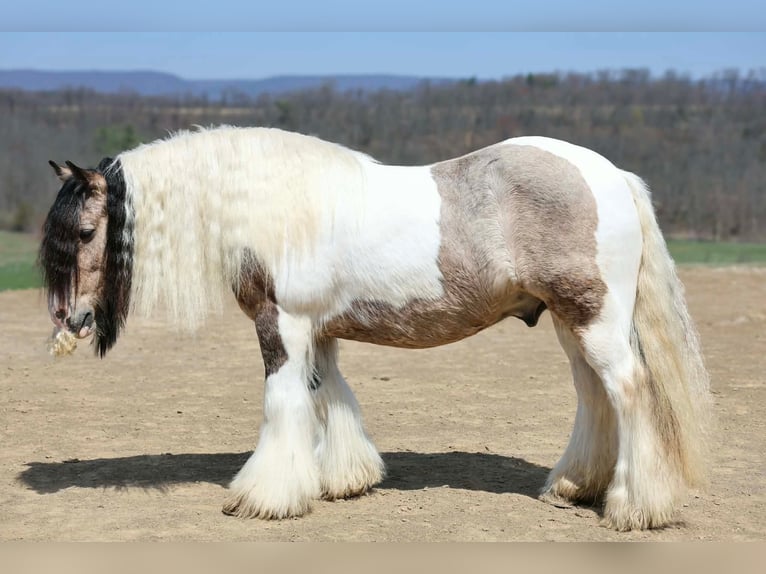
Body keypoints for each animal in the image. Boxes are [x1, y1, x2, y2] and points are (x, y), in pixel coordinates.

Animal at [40, 125, 710, 531]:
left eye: (85, 231)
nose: (71, 321)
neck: (269, 207)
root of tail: (612, 176)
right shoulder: (319, 331)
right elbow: (327, 396)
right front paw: (343, 480)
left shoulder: (282, 325)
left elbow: (283, 403)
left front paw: (264, 496)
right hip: (572, 324)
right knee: (594, 395)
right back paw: (573, 487)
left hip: (593, 320)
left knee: (629, 392)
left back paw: (632, 507)